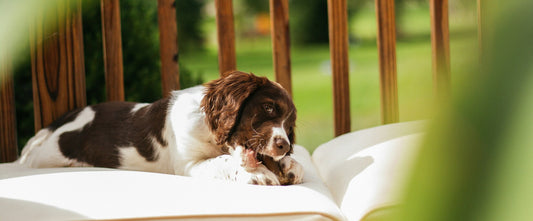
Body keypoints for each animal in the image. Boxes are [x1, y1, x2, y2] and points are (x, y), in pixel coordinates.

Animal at [15, 71, 304, 185]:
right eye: (268, 108)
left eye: (289, 126)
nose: (284, 146)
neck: (212, 137)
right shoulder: (188, 164)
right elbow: (223, 160)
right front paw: (261, 174)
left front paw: (289, 165)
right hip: (48, 156)